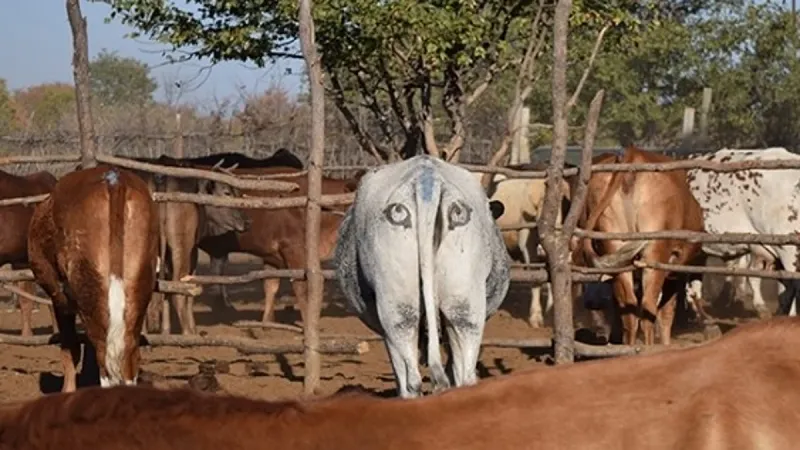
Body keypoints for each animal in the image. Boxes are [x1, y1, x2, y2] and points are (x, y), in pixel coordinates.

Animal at [26, 165, 159, 392]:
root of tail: (114, 180)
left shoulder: (60, 298)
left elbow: (69, 349)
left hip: (89, 290)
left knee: (104, 357)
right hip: (138, 287)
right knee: (129, 357)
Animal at [572, 146, 704, 346]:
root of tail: (632, 153)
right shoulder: (674, 271)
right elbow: (667, 312)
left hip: (615, 246)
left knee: (629, 308)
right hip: (654, 252)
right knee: (648, 308)